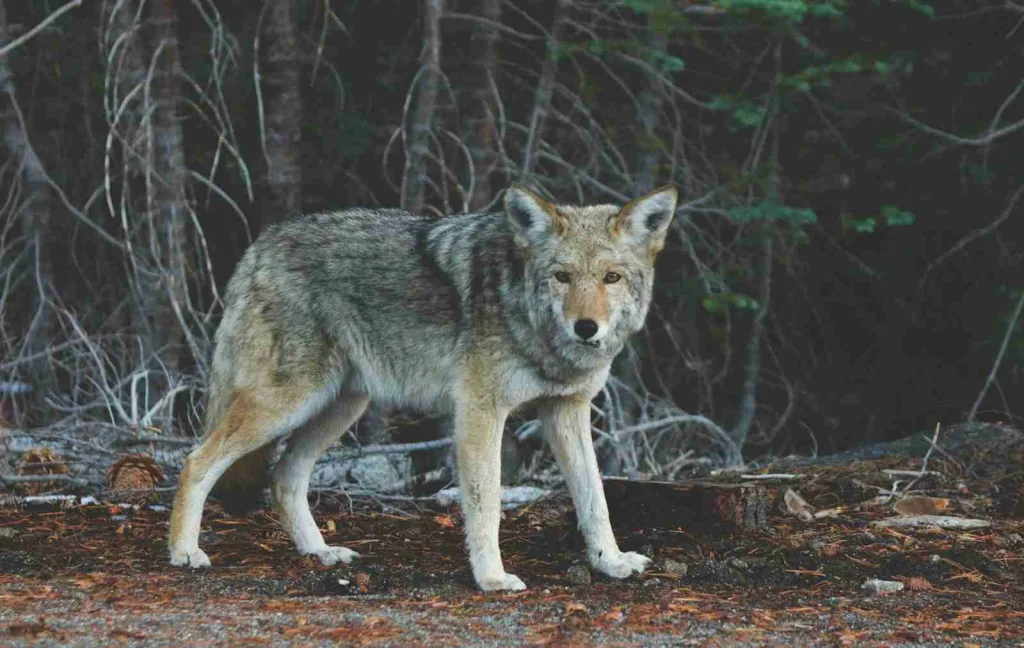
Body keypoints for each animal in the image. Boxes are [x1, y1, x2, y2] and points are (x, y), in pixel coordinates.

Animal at [168, 184, 679, 591]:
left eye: (611, 278)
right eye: (562, 276)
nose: (586, 328)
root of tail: (262, 244)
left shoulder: (566, 411)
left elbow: (595, 499)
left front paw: (611, 562)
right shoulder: (479, 412)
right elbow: (487, 504)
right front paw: (492, 578)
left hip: (340, 407)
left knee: (284, 477)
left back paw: (321, 553)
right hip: (286, 404)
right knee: (196, 461)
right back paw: (185, 552)